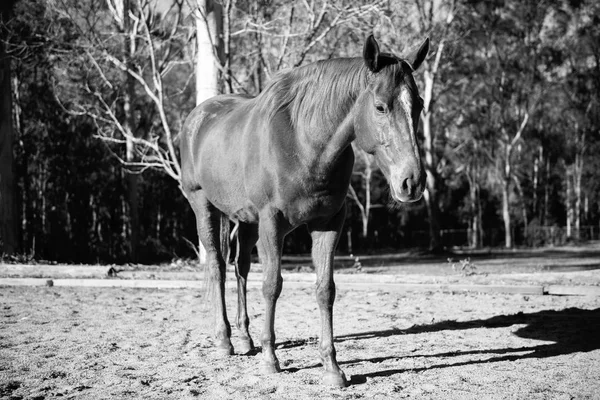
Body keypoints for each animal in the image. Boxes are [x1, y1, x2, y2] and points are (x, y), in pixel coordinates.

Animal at [180, 35, 428, 388]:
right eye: (380, 106)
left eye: (418, 104)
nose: (412, 182)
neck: (304, 142)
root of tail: (197, 117)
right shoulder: (271, 222)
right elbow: (272, 285)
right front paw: (271, 360)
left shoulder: (329, 224)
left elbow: (325, 290)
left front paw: (332, 367)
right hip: (204, 207)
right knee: (217, 267)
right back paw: (224, 341)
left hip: (245, 220)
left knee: (240, 268)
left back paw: (245, 339)